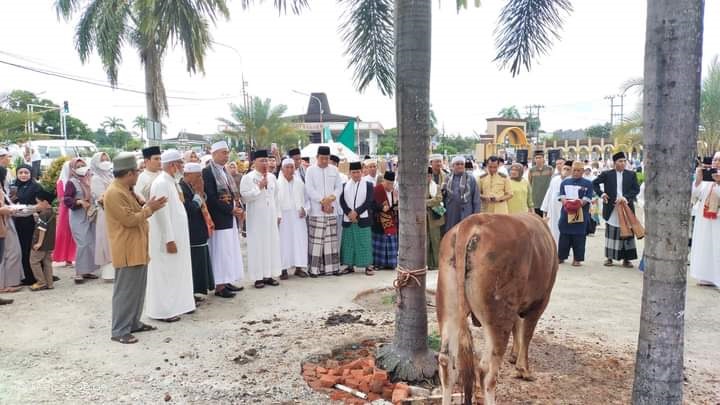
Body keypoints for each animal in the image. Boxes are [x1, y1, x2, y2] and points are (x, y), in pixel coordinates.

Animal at [436, 213, 560, 402]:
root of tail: (472, 221)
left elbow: (518, 328)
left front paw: (514, 357)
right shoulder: (540, 302)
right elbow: (527, 333)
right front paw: (523, 369)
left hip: (449, 305)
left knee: (447, 362)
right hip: (499, 315)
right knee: (486, 371)